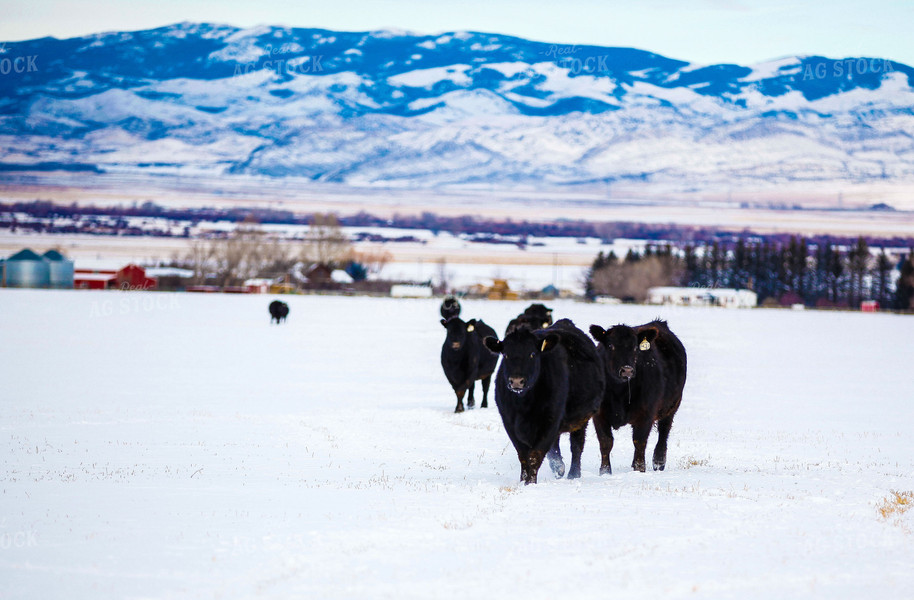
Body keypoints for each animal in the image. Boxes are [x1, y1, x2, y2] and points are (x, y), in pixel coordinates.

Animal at [484, 318, 604, 482]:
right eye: (506, 354)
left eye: (532, 354)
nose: (516, 381)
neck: (523, 405)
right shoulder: (509, 423)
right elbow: (523, 455)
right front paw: (523, 480)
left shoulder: (550, 421)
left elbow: (535, 455)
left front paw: (531, 483)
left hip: (581, 418)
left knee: (576, 445)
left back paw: (573, 474)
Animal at [592, 318, 684, 474]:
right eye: (610, 345)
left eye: (635, 347)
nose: (627, 370)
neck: (619, 391)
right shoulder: (599, 413)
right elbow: (605, 442)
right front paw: (605, 471)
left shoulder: (646, 414)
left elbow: (639, 441)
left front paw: (639, 469)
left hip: (672, 406)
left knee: (664, 431)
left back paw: (659, 462)